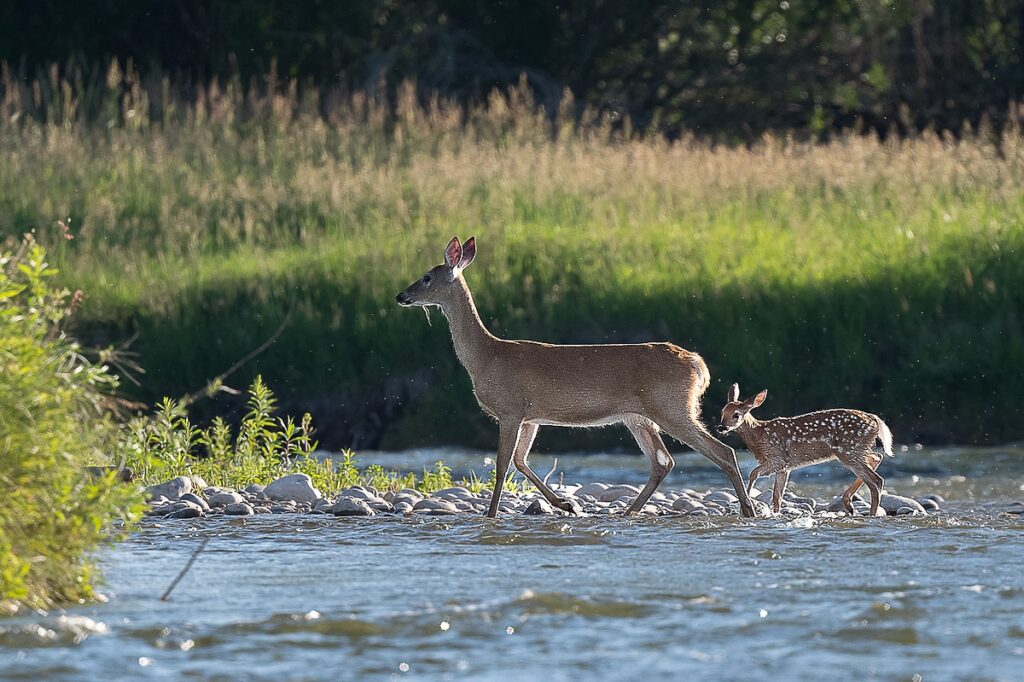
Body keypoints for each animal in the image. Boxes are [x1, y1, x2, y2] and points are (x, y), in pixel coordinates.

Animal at [395, 236, 757, 518]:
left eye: (426, 277)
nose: (401, 296)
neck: (485, 356)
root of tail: (698, 365)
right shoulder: (531, 416)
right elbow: (520, 461)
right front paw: (565, 504)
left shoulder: (511, 409)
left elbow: (501, 465)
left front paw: (492, 515)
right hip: (639, 416)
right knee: (663, 462)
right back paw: (629, 511)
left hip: (671, 407)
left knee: (722, 452)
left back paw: (748, 509)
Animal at [716, 384, 895, 516]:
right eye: (722, 412)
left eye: (736, 415)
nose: (721, 427)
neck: (760, 436)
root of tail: (875, 420)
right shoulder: (784, 468)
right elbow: (777, 496)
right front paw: (775, 514)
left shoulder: (778, 458)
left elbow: (753, 473)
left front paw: (745, 507)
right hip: (856, 450)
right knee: (876, 457)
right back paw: (849, 504)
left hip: (848, 451)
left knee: (876, 480)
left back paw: (869, 513)